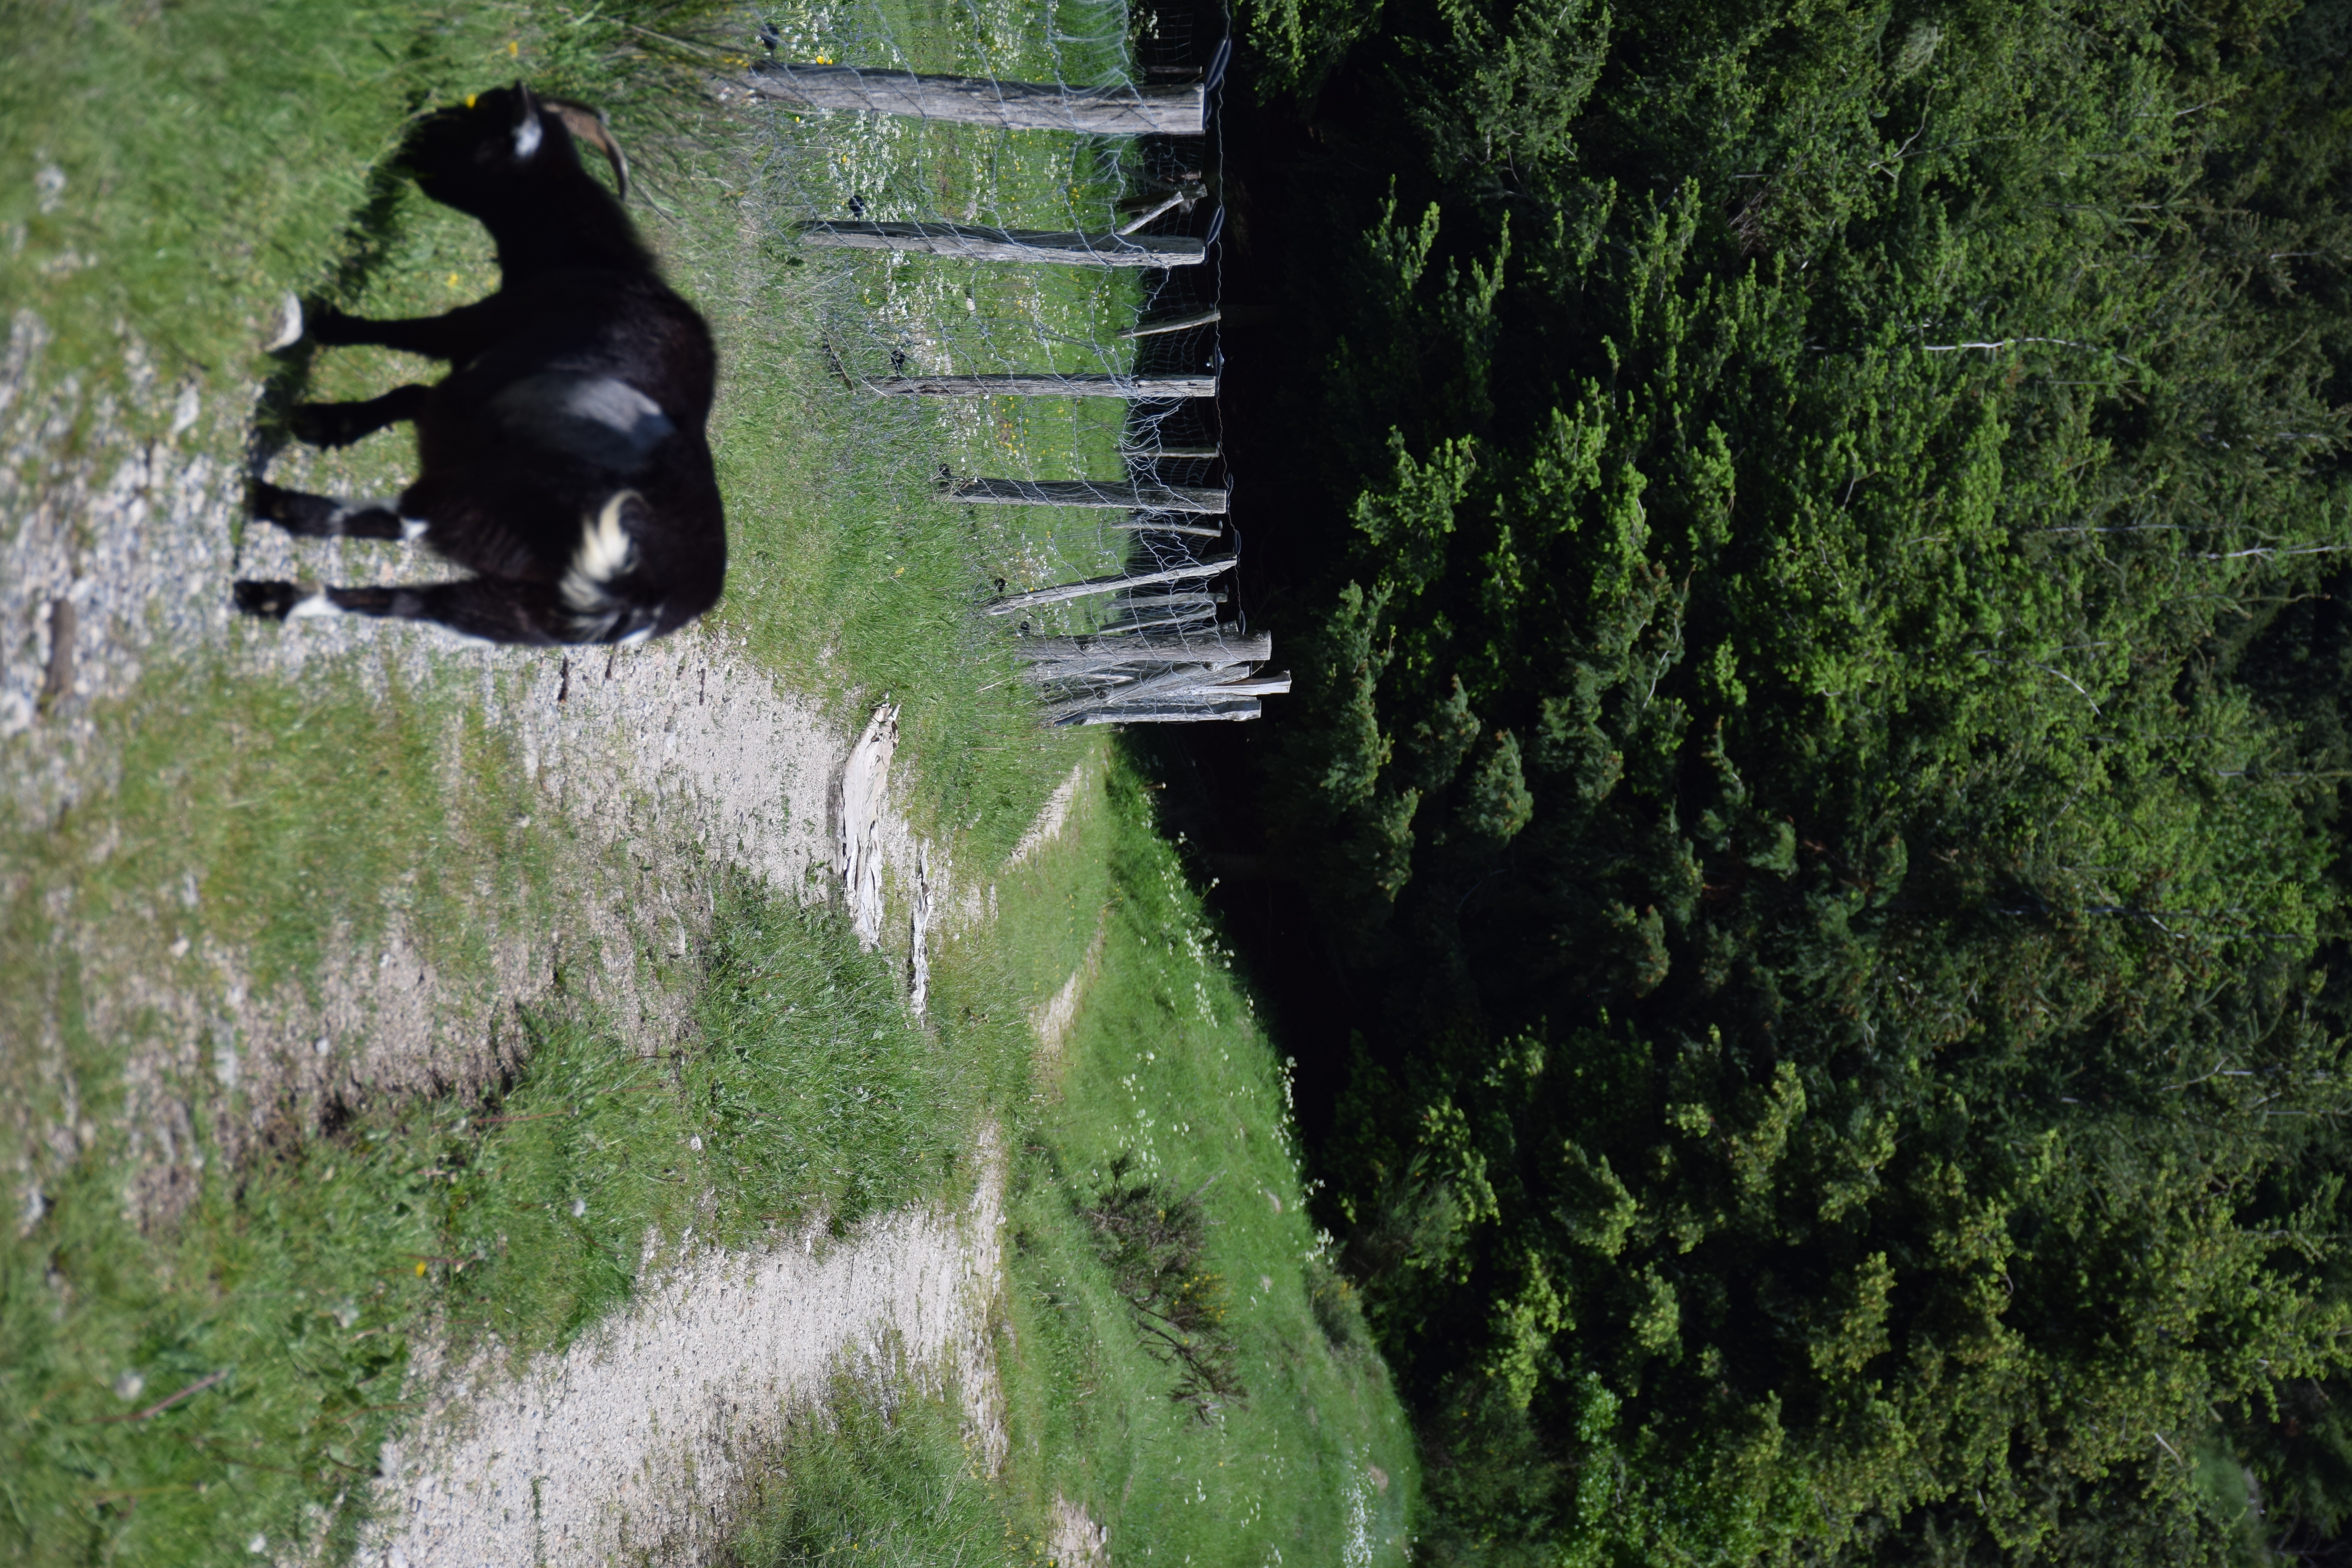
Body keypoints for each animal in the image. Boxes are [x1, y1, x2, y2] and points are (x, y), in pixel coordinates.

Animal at [236, 84, 724, 647]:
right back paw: (272, 597)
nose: (414, 129)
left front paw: (325, 333)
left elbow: (411, 342)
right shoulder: (473, 390)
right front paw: (331, 423)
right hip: (514, 608)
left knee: (378, 522)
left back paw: (260, 503)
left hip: (482, 500)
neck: (589, 260)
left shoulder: (478, 334)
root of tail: (640, 598)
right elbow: (412, 393)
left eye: (477, 119)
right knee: (406, 598)